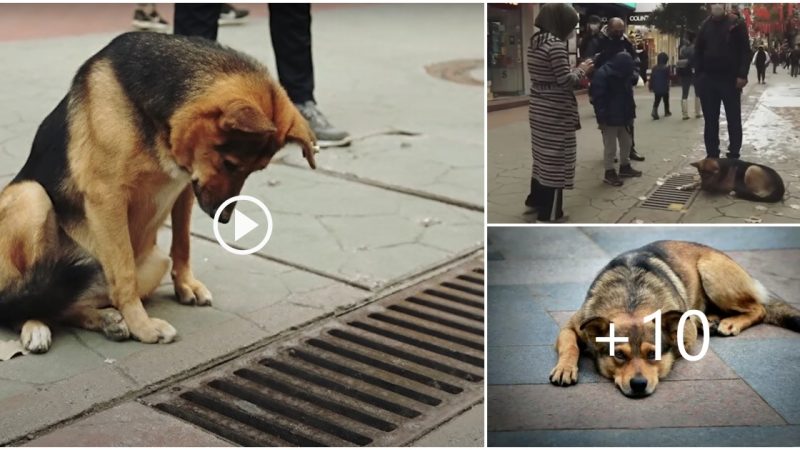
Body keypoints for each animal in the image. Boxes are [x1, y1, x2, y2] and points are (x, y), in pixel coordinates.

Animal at [0, 33, 318, 354]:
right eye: (230, 164)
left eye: (256, 169)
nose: (225, 218)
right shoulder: (107, 196)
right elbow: (124, 274)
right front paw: (142, 327)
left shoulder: (187, 187)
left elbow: (182, 243)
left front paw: (186, 285)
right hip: (32, 196)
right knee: (18, 302)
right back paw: (37, 325)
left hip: (150, 264)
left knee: (66, 305)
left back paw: (106, 320)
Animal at [552, 243, 800, 398]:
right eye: (619, 355)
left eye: (652, 354)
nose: (639, 385)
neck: (631, 300)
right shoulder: (572, 326)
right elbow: (570, 346)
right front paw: (565, 368)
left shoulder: (685, 332)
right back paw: (710, 319)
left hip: (712, 273)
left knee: (759, 308)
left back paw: (730, 322)